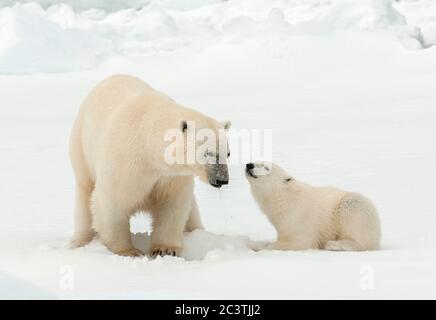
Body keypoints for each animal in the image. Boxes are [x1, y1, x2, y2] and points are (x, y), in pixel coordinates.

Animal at [70, 75, 230, 258]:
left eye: (228, 153)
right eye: (208, 153)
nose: (222, 179)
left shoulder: (170, 176)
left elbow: (172, 204)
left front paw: (164, 249)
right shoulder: (124, 163)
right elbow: (112, 201)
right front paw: (129, 251)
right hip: (81, 150)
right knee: (85, 197)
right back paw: (81, 241)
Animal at [245, 162, 382, 250]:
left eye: (266, 167)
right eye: (258, 160)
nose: (249, 165)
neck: (284, 199)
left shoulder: (298, 218)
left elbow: (298, 242)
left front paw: (255, 246)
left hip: (354, 205)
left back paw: (334, 245)